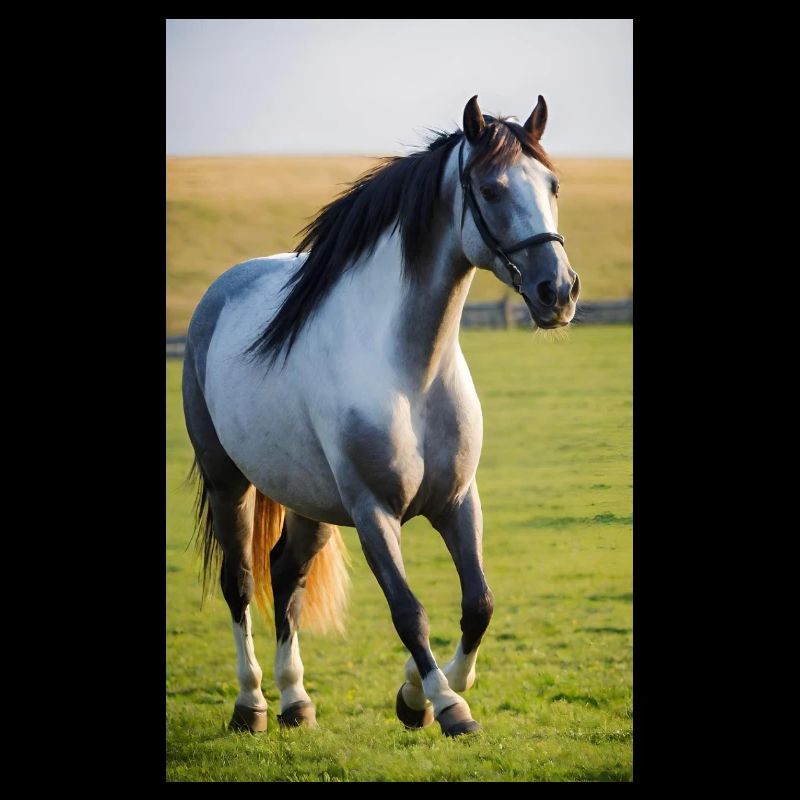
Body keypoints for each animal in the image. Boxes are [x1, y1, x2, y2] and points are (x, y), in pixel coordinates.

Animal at [182, 94, 579, 737]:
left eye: (553, 185)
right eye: (491, 189)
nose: (559, 292)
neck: (411, 373)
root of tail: (219, 295)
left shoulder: (458, 501)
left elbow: (479, 604)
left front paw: (416, 693)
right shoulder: (374, 513)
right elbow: (408, 610)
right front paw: (444, 704)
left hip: (309, 500)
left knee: (285, 575)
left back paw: (296, 700)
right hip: (228, 482)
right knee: (239, 582)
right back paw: (253, 703)